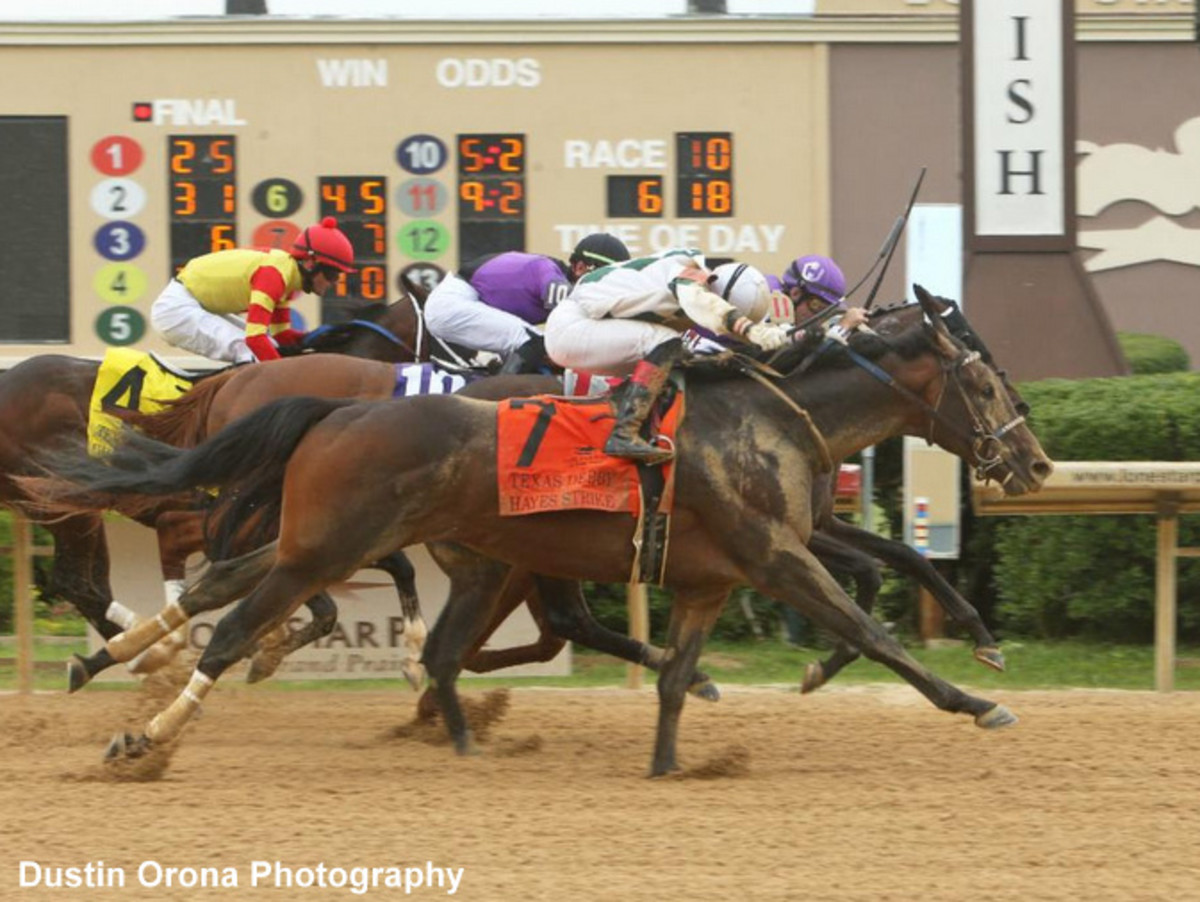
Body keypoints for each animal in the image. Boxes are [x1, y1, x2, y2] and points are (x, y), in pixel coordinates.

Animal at [18, 289, 1051, 777]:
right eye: (982, 377)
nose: (1035, 462)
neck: (773, 408)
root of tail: (328, 407)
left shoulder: (713, 576)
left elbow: (670, 668)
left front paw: (673, 756)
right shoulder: (776, 553)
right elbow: (871, 625)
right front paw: (978, 696)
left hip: (343, 540)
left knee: (229, 587)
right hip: (333, 544)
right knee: (233, 625)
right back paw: (147, 736)